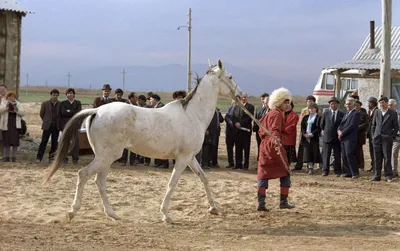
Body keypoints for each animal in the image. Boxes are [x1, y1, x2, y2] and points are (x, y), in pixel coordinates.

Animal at [44, 59, 244, 224]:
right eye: (230, 76)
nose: (242, 95)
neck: (192, 115)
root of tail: (96, 111)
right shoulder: (183, 158)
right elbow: (172, 183)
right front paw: (166, 215)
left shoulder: (190, 157)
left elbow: (204, 177)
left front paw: (213, 208)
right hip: (107, 156)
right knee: (84, 174)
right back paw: (72, 212)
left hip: (106, 157)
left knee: (99, 181)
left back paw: (113, 214)